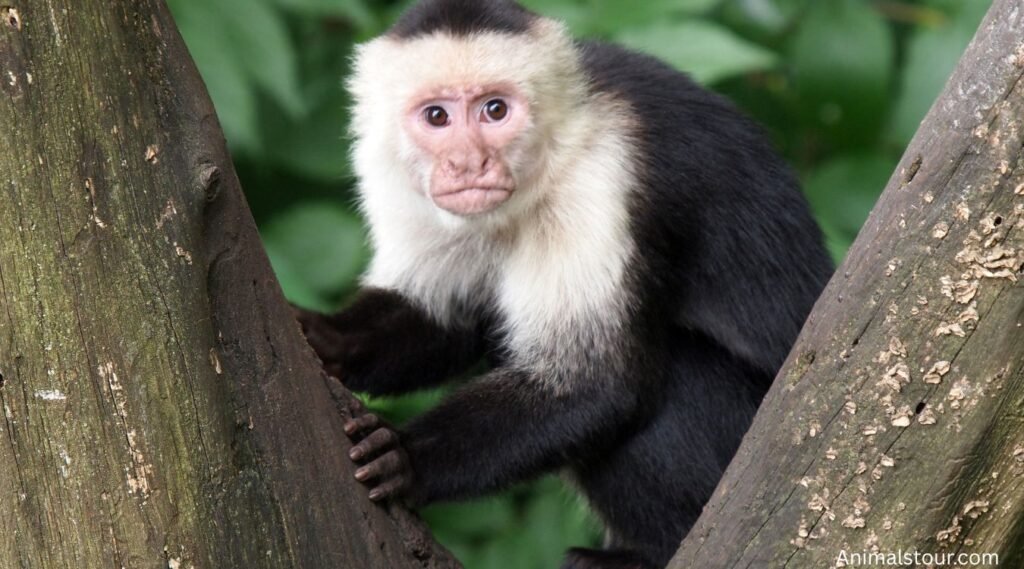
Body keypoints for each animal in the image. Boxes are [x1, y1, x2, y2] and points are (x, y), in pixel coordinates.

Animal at [295, 1, 834, 567]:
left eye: (495, 110)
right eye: (436, 116)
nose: (469, 163)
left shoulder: (598, 178)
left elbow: (592, 384)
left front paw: (407, 458)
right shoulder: (393, 180)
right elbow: (447, 322)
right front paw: (326, 337)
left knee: (674, 377)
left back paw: (650, 554)